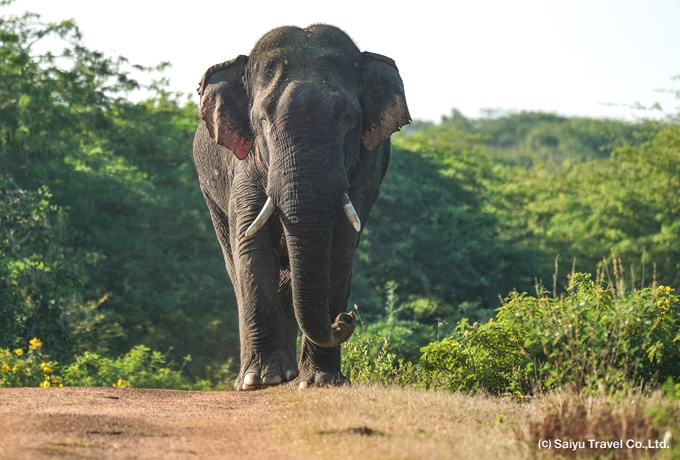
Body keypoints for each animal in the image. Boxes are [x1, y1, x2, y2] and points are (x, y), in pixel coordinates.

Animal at [194, 25, 412, 390]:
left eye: (349, 118)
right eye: (261, 120)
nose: (345, 318)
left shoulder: (366, 167)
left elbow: (339, 249)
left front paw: (321, 381)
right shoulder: (245, 164)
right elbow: (251, 245)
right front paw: (261, 380)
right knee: (236, 263)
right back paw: (264, 378)